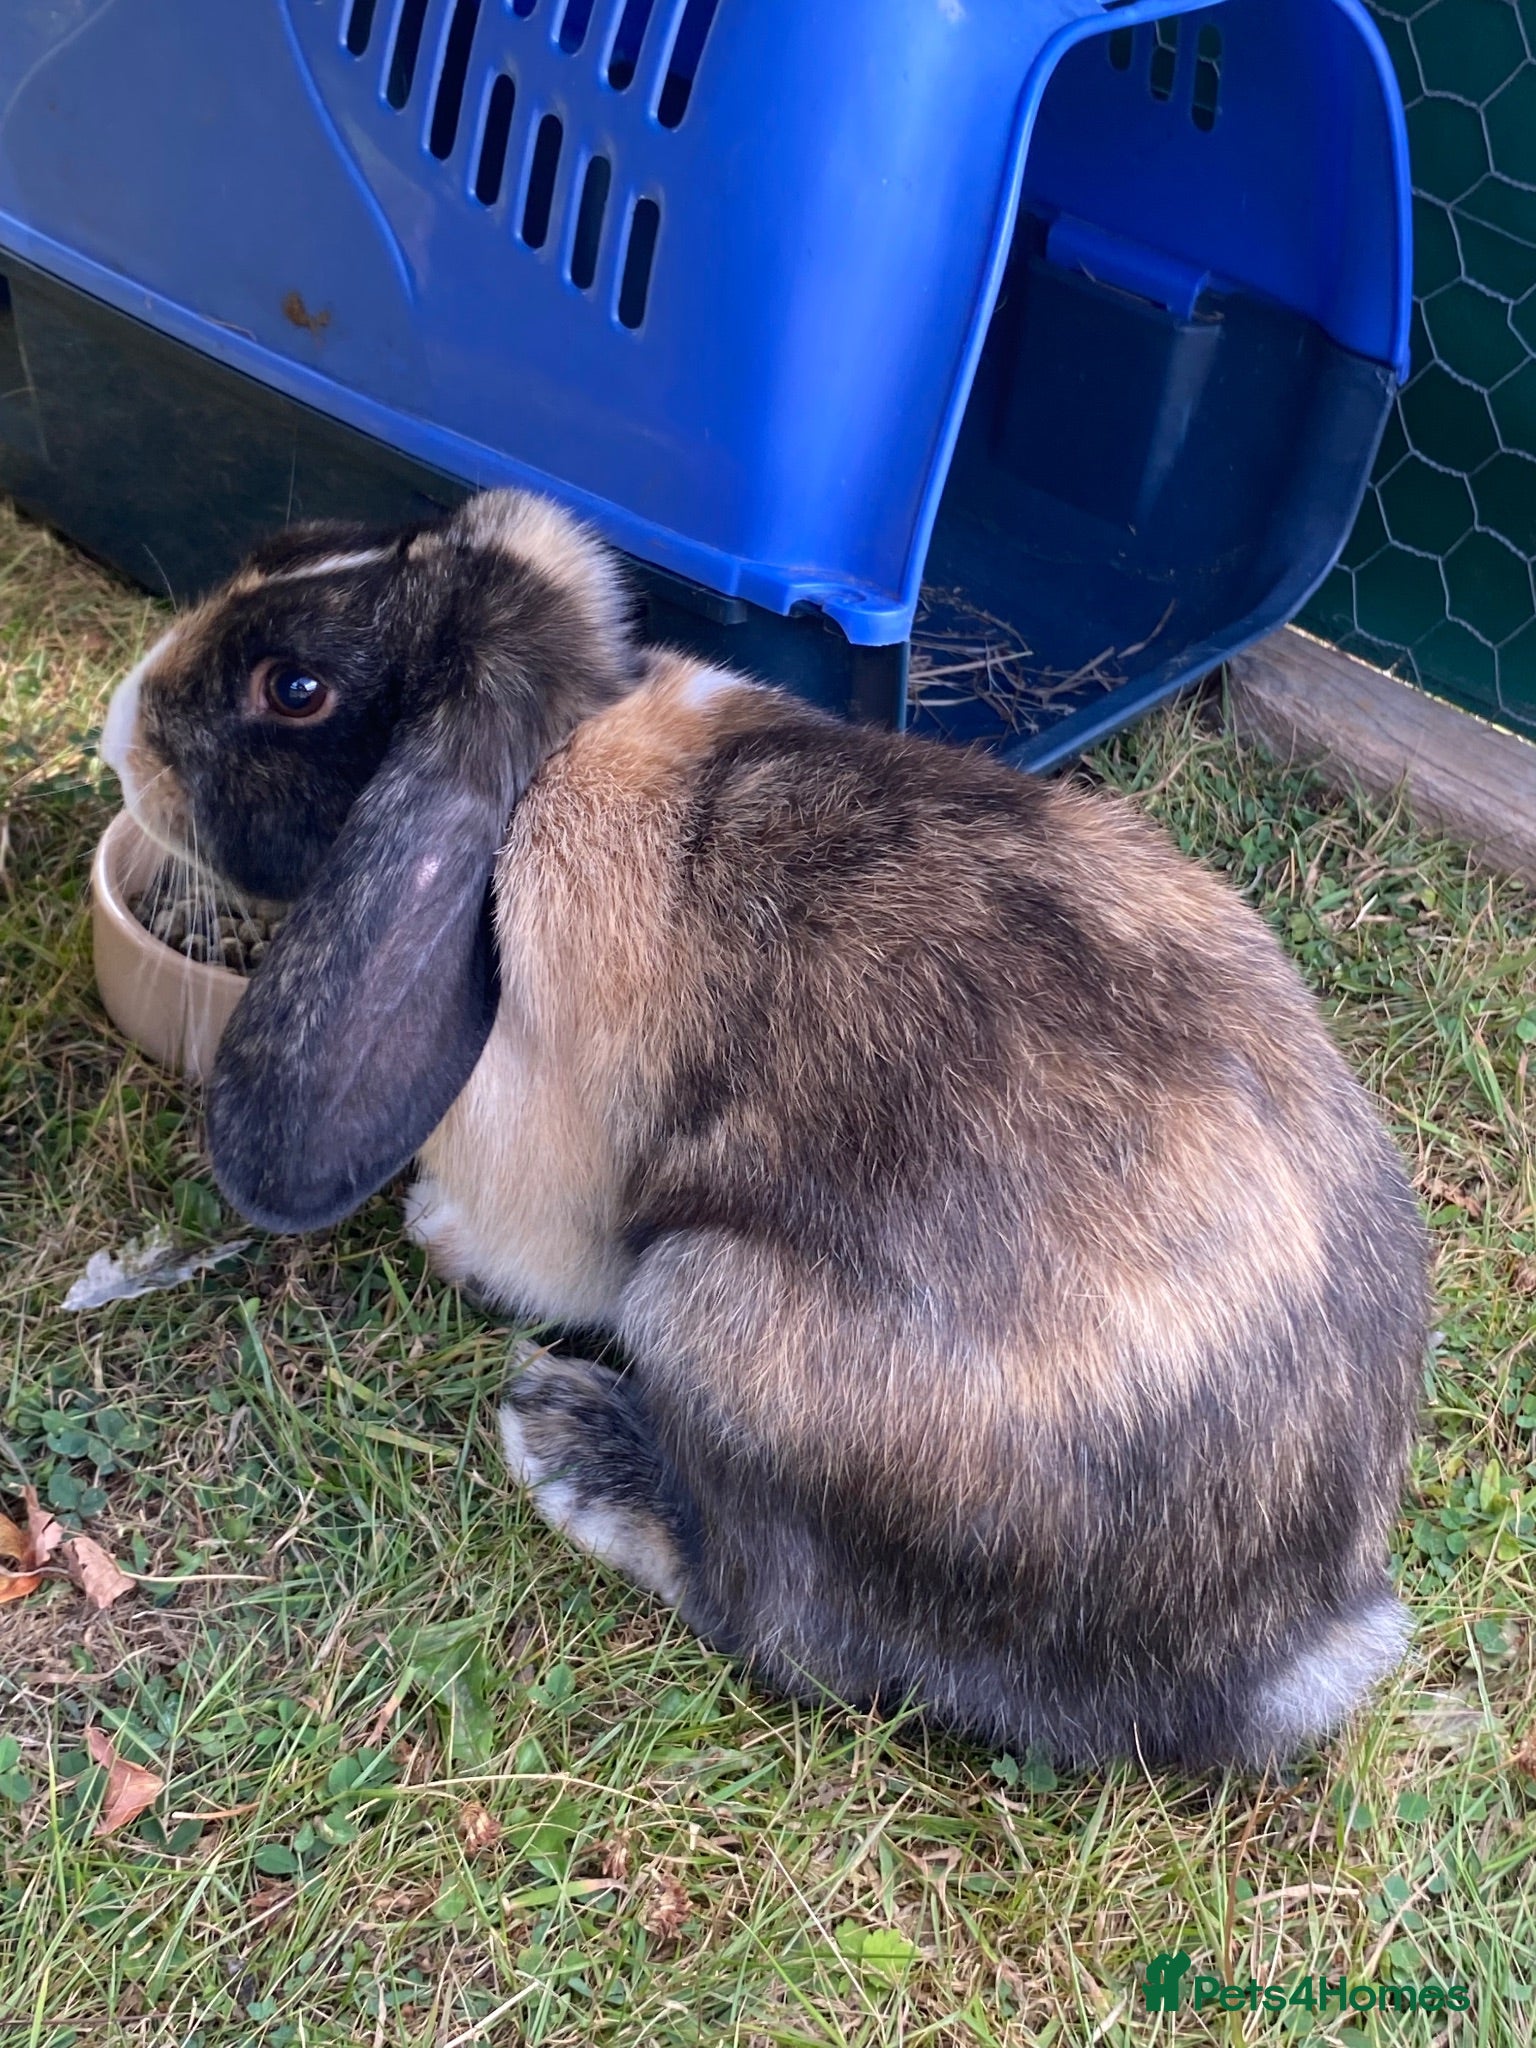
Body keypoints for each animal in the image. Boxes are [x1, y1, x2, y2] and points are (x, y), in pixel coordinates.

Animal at [100, 486, 1430, 1772]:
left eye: (295, 689)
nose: (121, 725)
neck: (554, 758)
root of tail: (1287, 1643)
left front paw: (439, 1233)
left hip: (704, 1300)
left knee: (777, 1626)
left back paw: (569, 1440)